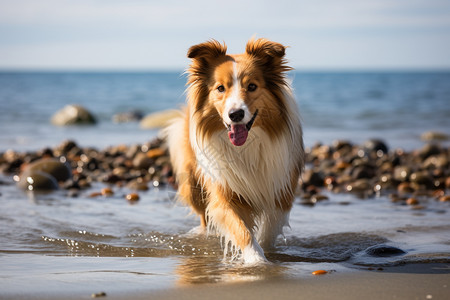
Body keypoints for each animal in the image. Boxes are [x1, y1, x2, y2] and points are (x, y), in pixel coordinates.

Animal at [166, 37, 306, 262]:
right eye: (220, 88)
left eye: (252, 86)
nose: (235, 114)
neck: (248, 146)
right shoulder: (225, 192)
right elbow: (242, 231)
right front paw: (256, 260)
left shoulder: (280, 190)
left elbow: (268, 231)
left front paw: (265, 253)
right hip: (194, 184)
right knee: (204, 218)